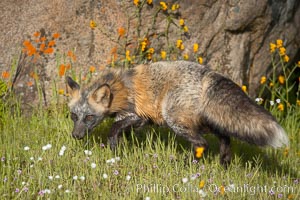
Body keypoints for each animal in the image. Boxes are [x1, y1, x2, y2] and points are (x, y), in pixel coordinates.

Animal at [66, 60, 288, 166]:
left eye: (89, 117)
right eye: (74, 116)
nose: (75, 136)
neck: (118, 89)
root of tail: (209, 73)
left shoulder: (135, 115)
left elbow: (114, 128)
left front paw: (113, 147)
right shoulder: (142, 121)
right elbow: (124, 133)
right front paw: (122, 148)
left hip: (175, 120)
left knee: (202, 144)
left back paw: (186, 164)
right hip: (204, 122)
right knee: (224, 137)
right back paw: (223, 163)